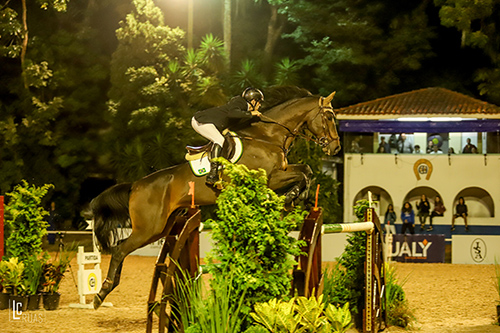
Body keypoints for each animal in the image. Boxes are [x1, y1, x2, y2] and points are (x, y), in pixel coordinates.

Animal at [91, 86, 340, 308]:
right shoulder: (268, 179)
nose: (336, 148)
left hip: (160, 228)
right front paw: (291, 197)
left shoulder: (282, 171)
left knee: (122, 248)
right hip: (148, 228)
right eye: (329, 116)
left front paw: (298, 197)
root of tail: (136, 185)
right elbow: (303, 173)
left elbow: (306, 171)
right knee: (119, 250)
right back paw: (101, 293)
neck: (267, 137)